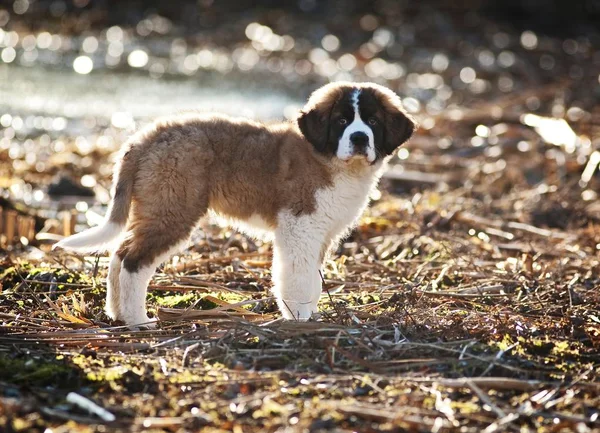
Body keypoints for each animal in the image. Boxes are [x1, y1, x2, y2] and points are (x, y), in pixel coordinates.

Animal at [56, 82, 418, 324]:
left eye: (372, 122)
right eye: (342, 121)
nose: (359, 138)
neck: (330, 160)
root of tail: (144, 138)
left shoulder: (322, 234)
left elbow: (313, 279)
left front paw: (311, 312)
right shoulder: (299, 226)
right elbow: (298, 277)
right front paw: (299, 317)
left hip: (156, 207)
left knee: (119, 255)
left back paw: (116, 313)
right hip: (173, 210)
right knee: (133, 261)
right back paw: (137, 320)